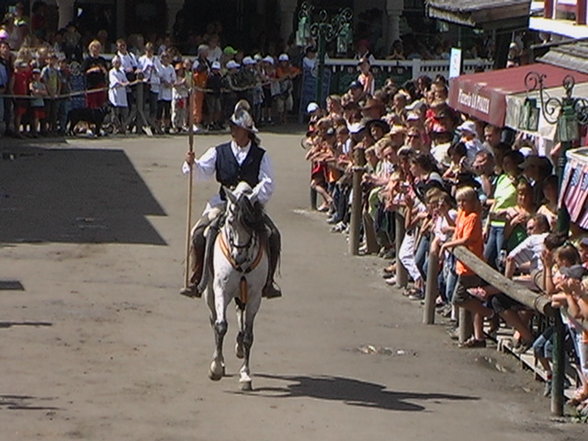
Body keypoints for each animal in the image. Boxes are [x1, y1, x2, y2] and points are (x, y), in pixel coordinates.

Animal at [204, 180, 268, 390]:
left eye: (251, 224)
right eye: (231, 221)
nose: (238, 257)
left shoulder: (255, 297)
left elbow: (248, 336)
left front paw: (245, 375)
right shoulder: (221, 290)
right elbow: (221, 326)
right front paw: (216, 368)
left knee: (240, 316)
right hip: (210, 293)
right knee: (214, 320)